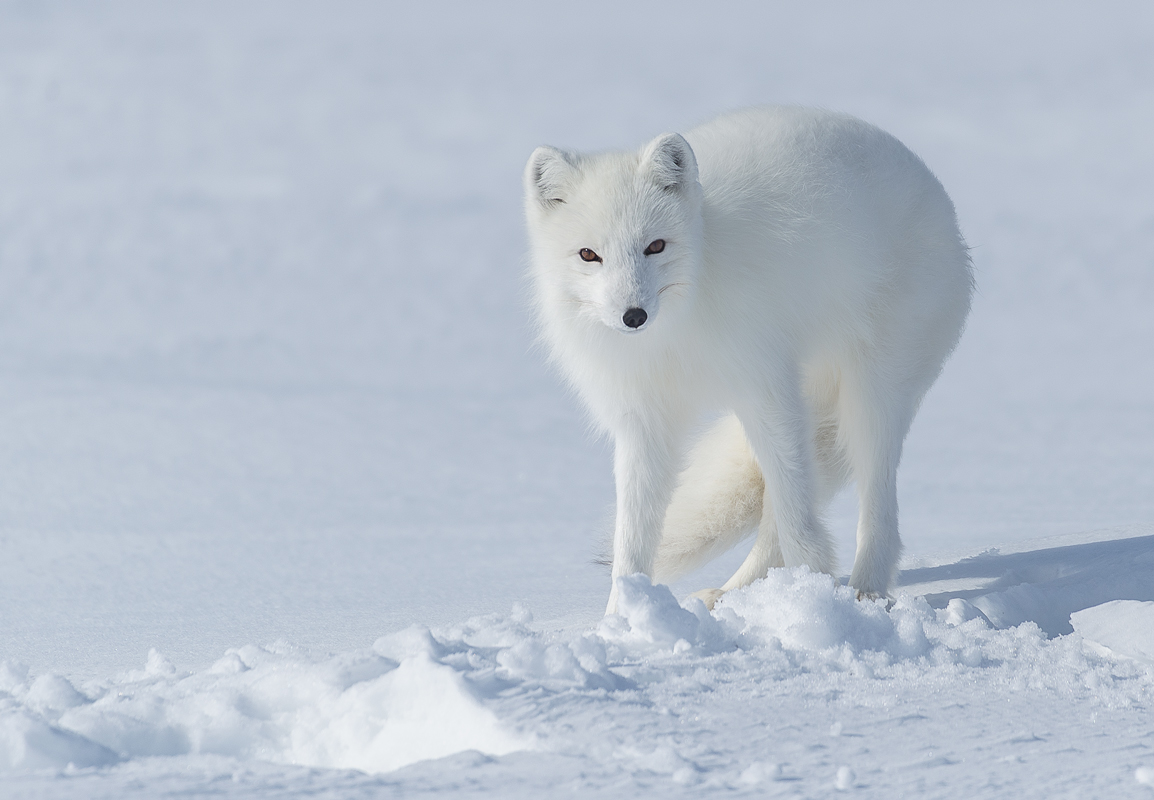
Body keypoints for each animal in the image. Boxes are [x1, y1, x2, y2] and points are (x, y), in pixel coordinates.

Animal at [526, 107, 973, 609]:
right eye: (589, 254)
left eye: (655, 246)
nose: (633, 316)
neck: (676, 332)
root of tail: (933, 187)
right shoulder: (644, 420)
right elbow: (633, 537)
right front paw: (623, 613)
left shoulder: (765, 389)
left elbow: (796, 514)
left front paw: (814, 598)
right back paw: (732, 593)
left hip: (869, 397)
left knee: (873, 509)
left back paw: (861, 592)